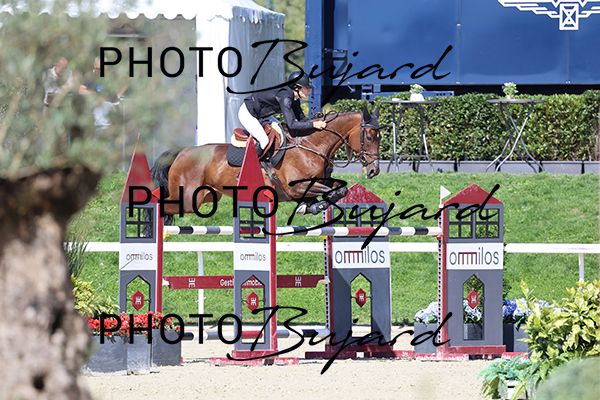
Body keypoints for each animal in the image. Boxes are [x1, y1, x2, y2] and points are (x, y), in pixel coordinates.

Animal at [150, 105, 383, 227]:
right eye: (370, 137)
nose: (374, 171)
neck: (311, 145)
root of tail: (182, 151)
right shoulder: (296, 187)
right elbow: (326, 192)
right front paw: (313, 206)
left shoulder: (318, 181)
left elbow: (339, 189)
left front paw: (310, 206)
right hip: (188, 198)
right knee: (163, 205)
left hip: (206, 196)